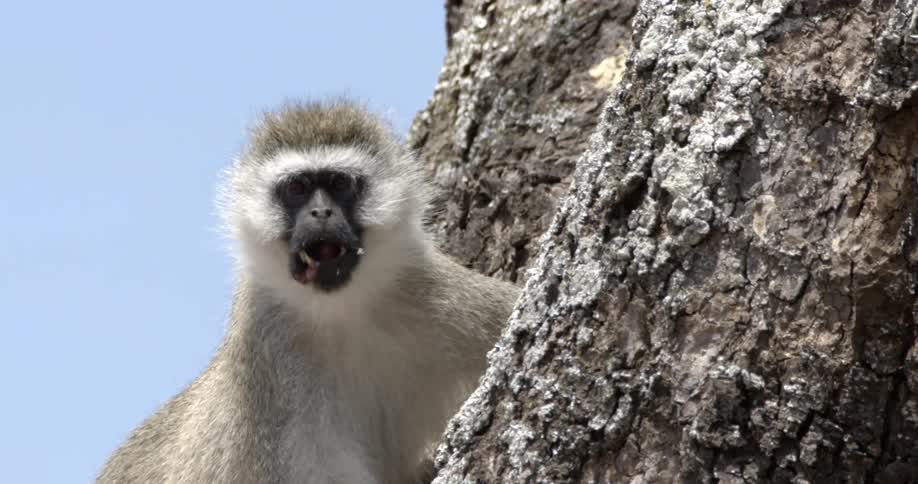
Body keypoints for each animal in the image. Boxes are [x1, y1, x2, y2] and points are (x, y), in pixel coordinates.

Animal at [97, 99, 521, 484]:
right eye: (298, 188)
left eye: (339, 184)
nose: (321, 213)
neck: (341, 311)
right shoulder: (268, 357)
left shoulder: (438, 292)